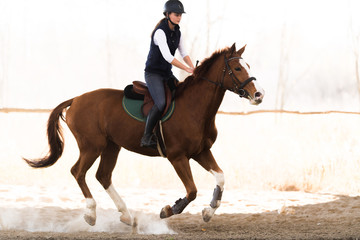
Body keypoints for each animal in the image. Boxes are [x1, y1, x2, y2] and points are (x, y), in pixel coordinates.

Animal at [25, 44, 264, 226]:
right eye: (237, 68)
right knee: (78, 172)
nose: (258, 95)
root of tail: (75, 100)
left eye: (248, 66)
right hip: (92, 146)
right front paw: (169, 209)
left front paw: (208, 211)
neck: (194, 108)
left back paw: (126, 215)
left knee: (103, 176)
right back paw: (91, 213)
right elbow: (192, 191)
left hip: (111, 146)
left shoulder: (201, 152)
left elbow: (220, 178)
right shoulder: (177, 157)